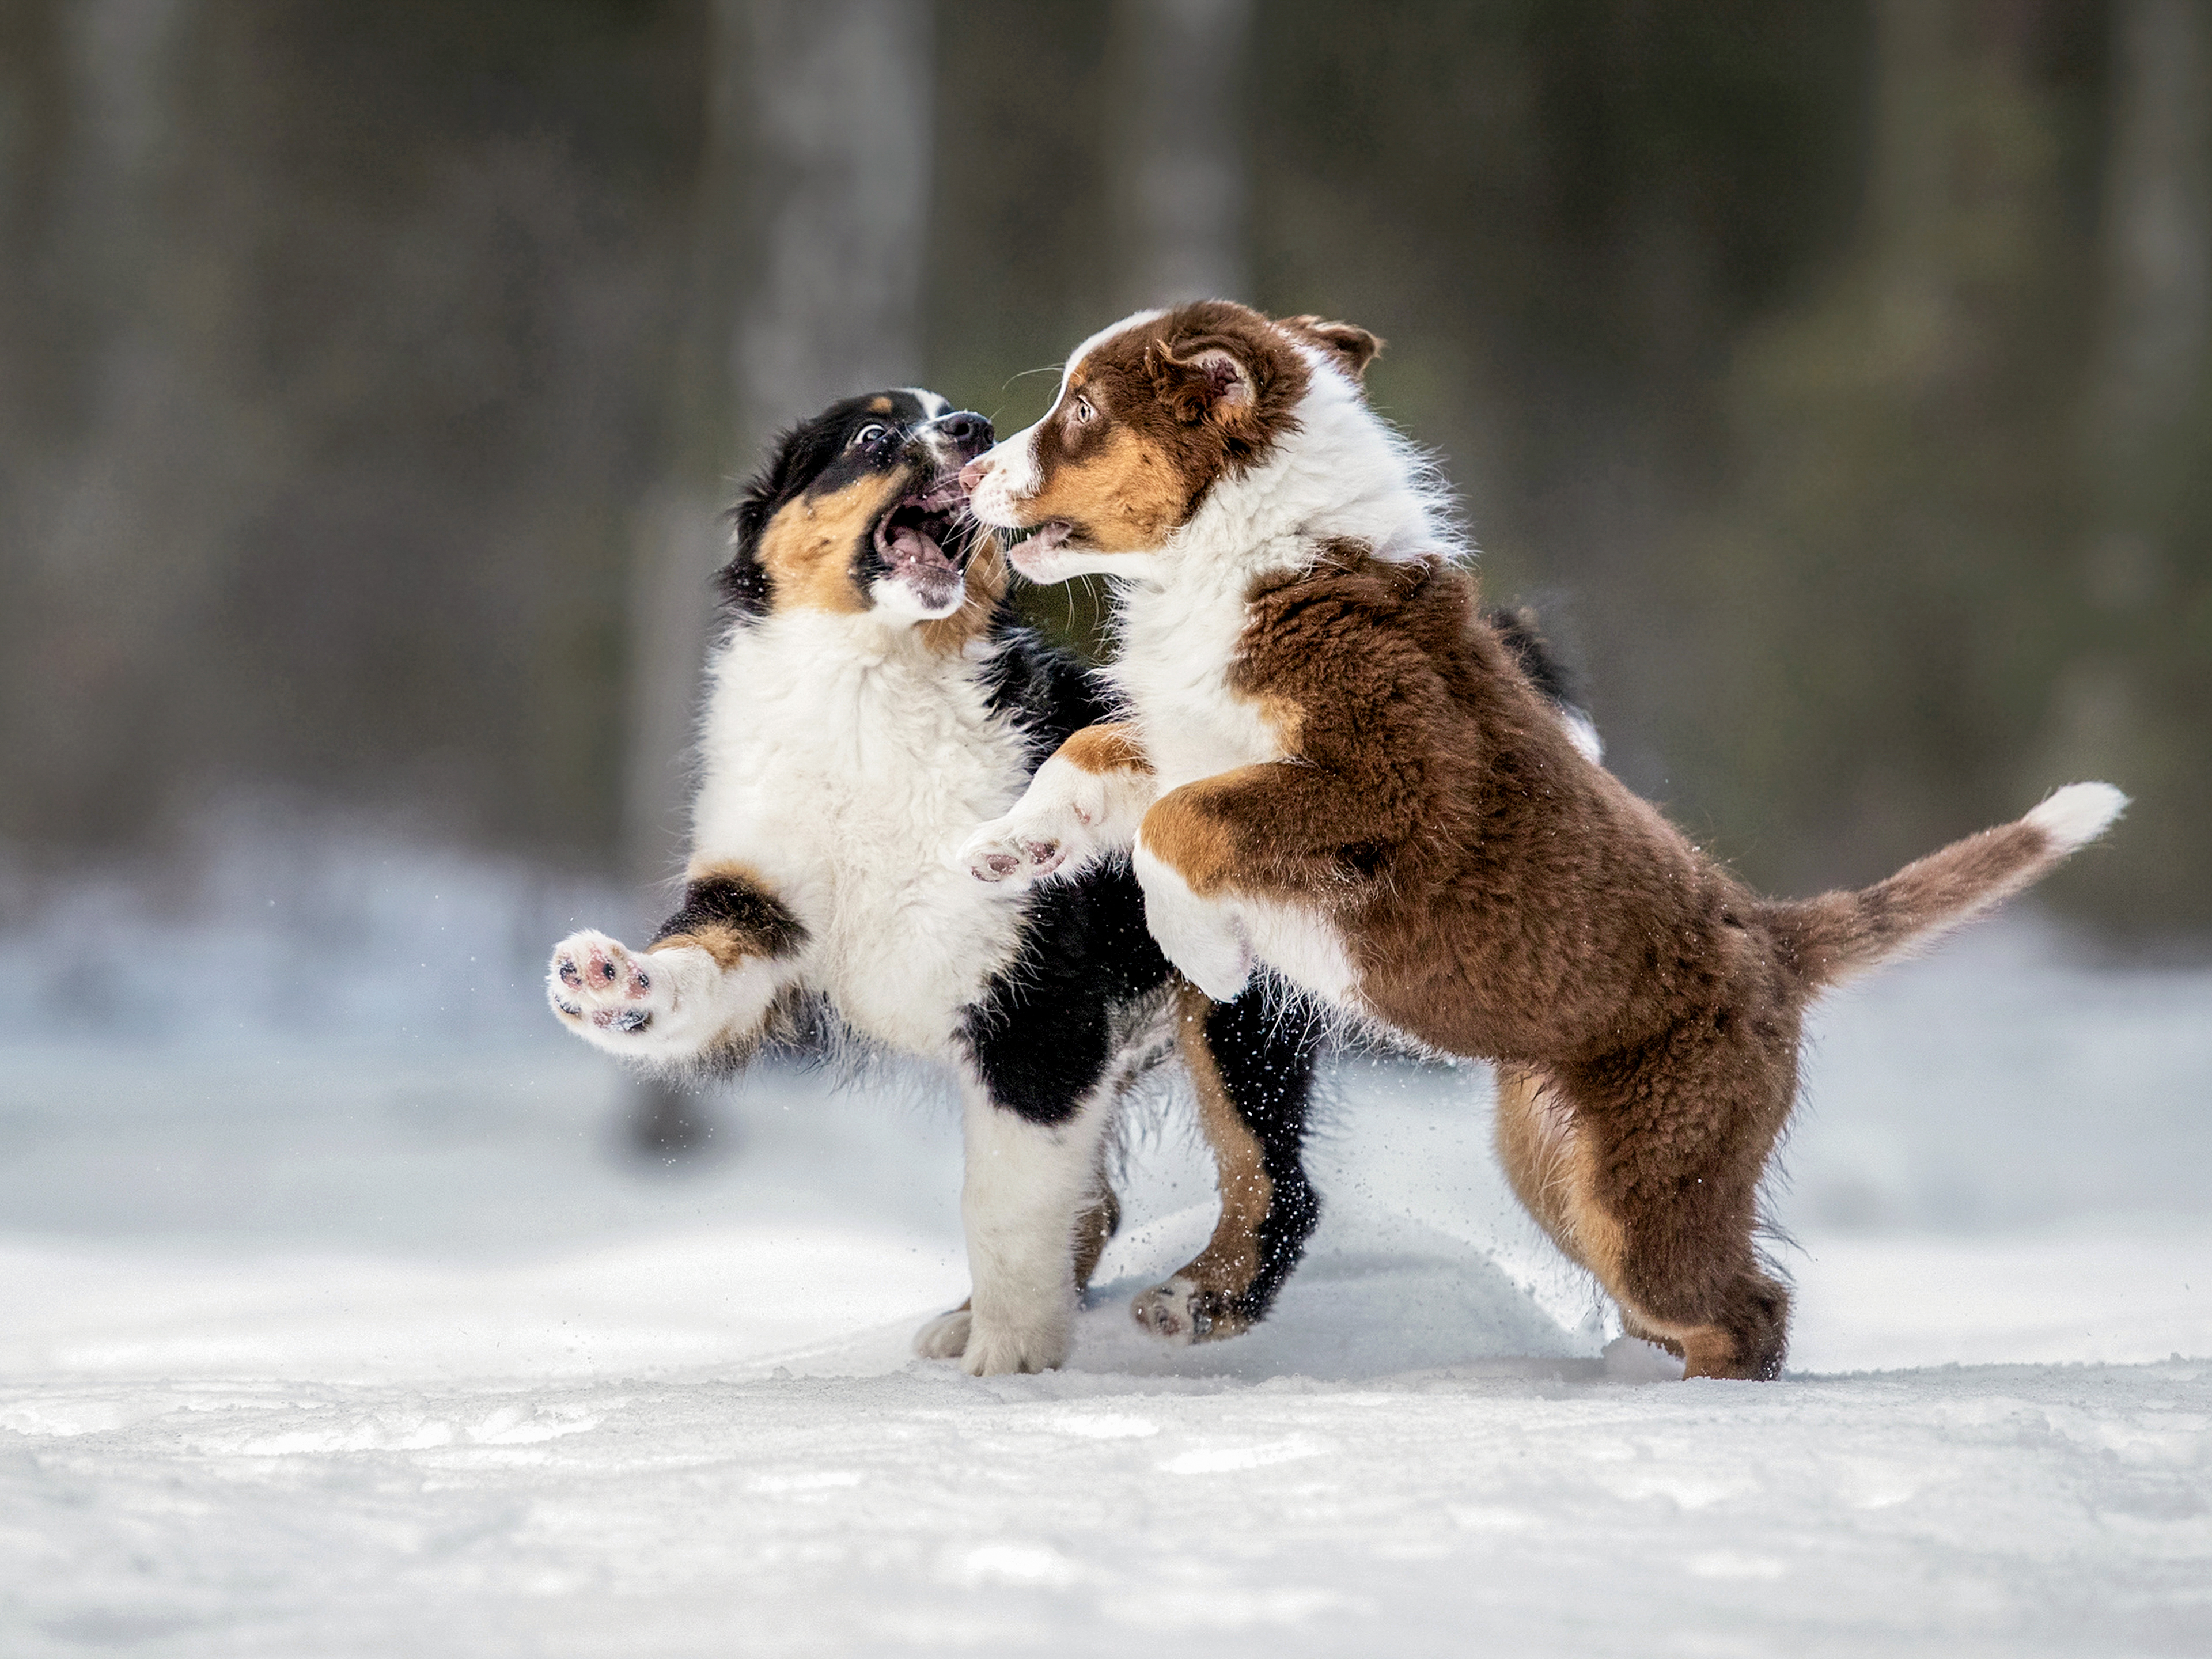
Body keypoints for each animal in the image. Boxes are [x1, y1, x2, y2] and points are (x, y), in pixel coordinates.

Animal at [546, 389, 1318, 1380]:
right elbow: (696, 968)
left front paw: (1006, 1370)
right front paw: (610, 984)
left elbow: (1004, 1204)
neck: (876, 685)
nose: (974, 430)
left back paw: (1198, 1301)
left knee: (1275, 1180)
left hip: (1231, 1013)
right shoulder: (763, 904)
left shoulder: (1037, 1002)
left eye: (964, 420)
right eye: (873, 436)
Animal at [955, 305, 2123, 1380]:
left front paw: (1209, 955)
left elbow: (1177, 826)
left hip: (1652, 1170)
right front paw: (1001, 852)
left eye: (1083, 411)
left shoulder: (1395, 780)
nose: (968, 469)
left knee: (1748, 1310)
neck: (1258, 557)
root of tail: (1774, 940)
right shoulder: (1182, 737)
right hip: (1557, 1158)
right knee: (1707, 1300)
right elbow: (1095, 759)